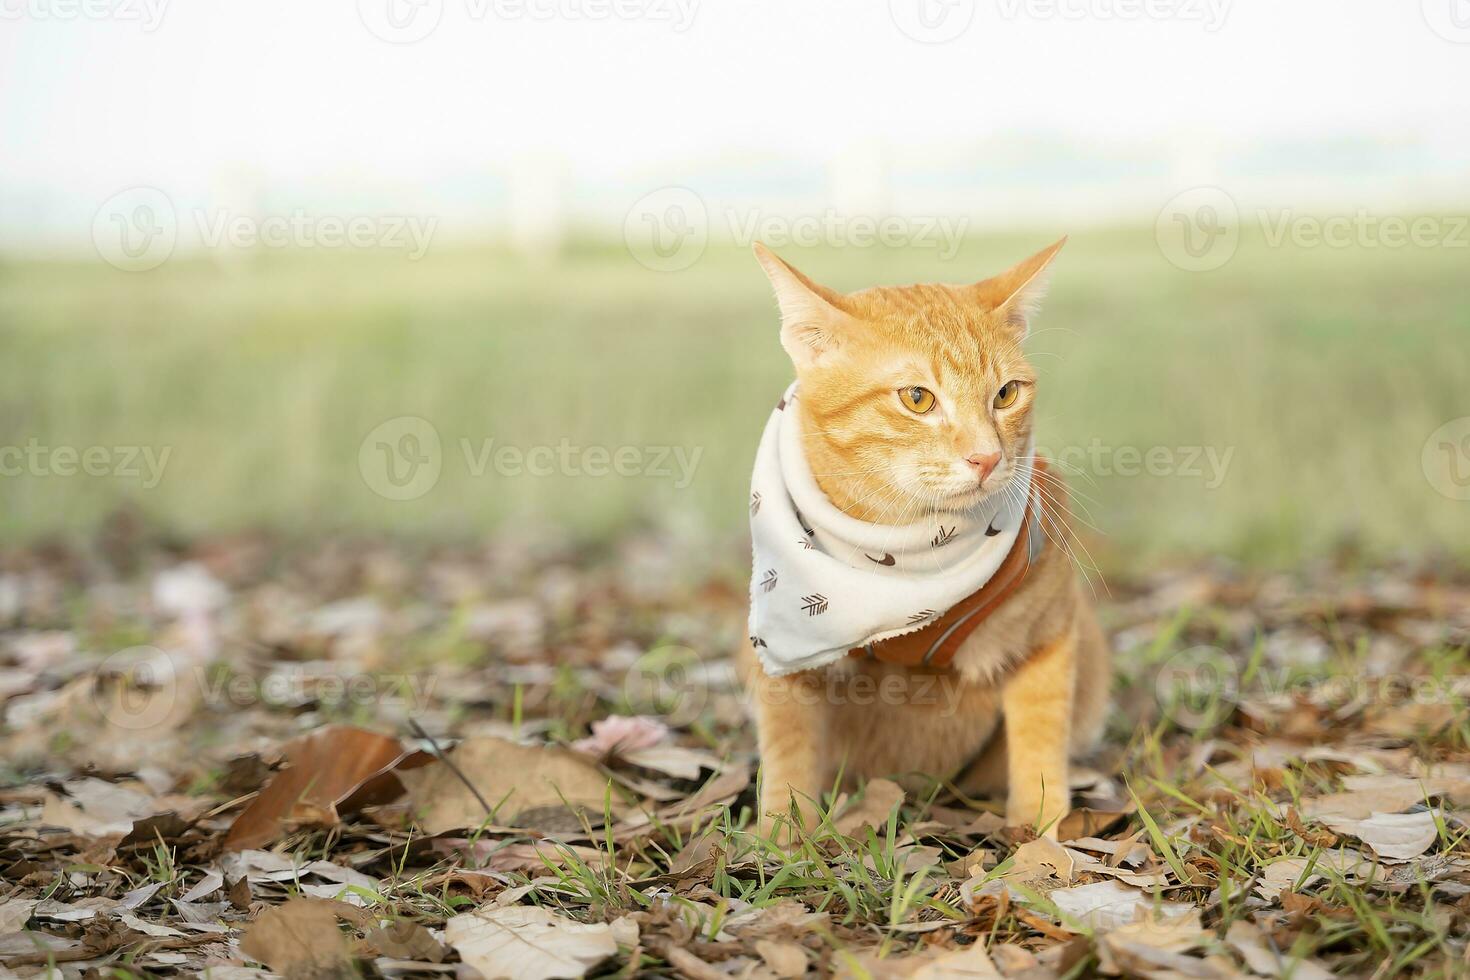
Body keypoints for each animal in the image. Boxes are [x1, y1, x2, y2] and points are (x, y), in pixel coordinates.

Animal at [740, 240, 1105, 840]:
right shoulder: (783, 654)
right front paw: (784, 836)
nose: (987, 458)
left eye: (1006, 394)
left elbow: (1039, 739)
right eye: (917, 399)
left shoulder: (1050, 634)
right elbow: (789, 748)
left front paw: (1041, 829)